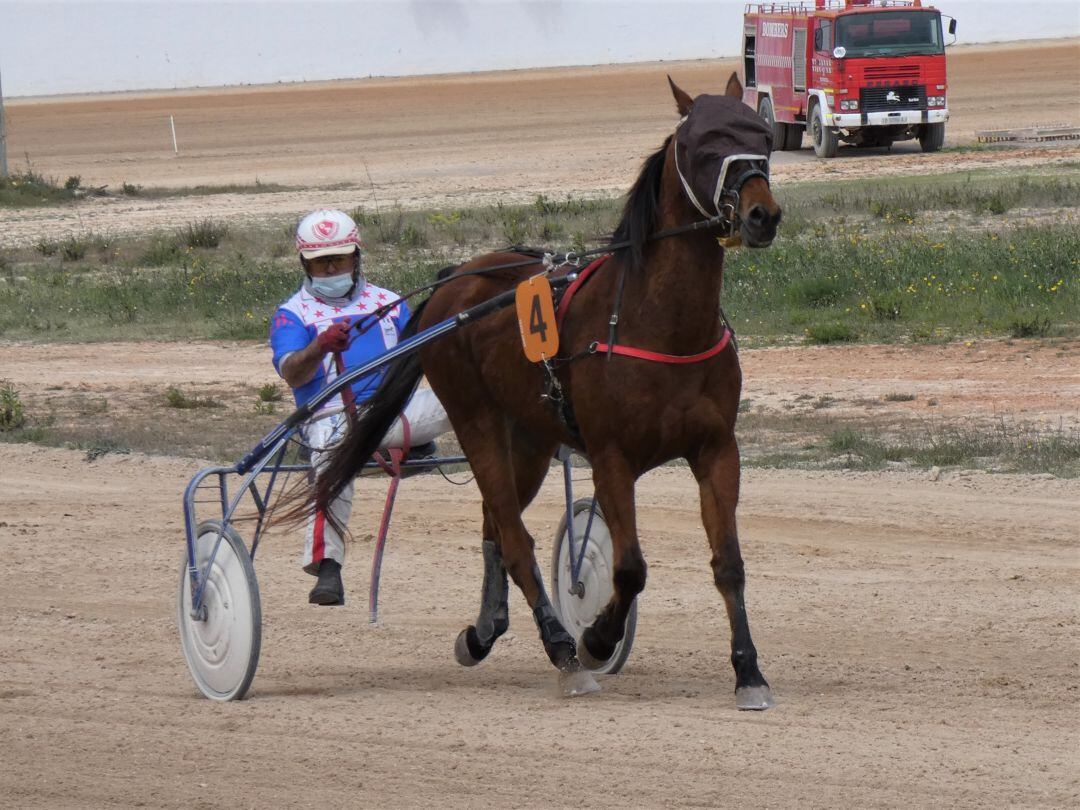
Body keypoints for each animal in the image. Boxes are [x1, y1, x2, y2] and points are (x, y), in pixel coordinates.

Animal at [308, 74, 781, 708]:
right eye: (704, 144)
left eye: (761, 135)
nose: (762, 215)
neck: (658, 323)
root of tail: (454, 281)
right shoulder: (611, 458)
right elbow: (630, 568)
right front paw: (598, 640)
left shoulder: (716, 450)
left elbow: (729, 563)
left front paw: (748, 670)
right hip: (476, 421)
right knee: (514, 540)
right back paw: (562, 650)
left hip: (529, 439)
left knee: (495, 526)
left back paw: (483, 632)